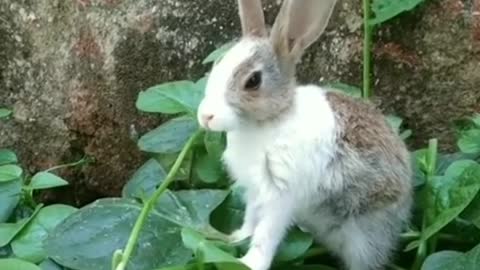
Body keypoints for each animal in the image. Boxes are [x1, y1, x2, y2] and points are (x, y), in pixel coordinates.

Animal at [197, 0, 414, 270]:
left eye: (253, 81)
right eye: (217, 65)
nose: (206, 116)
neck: (270, 121)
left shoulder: (280, 193)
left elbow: (267, 232)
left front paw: (249, 263)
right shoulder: (255, 190)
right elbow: (251, 218)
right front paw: (234, 238)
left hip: (364, 235)